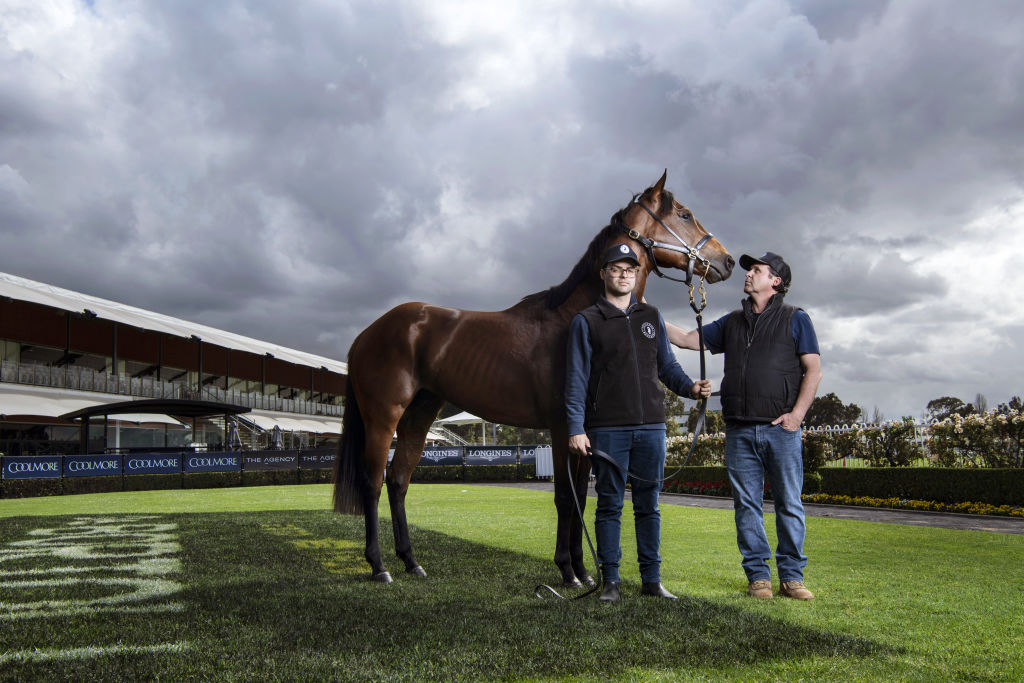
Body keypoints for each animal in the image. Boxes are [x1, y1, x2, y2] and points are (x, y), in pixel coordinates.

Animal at [331, 171, 733, 581]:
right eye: (684, 214)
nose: (727, 260)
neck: (575, 319)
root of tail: (367, 334)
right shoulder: (561, 426)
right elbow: (564, 497)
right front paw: (567, 570)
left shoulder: (587, 431)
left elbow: (581, 499)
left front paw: (583, 569)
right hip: (383, 418)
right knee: (372, 483)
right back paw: (379, 566)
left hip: (419, 413)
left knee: (398, 480)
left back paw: (411, 562)